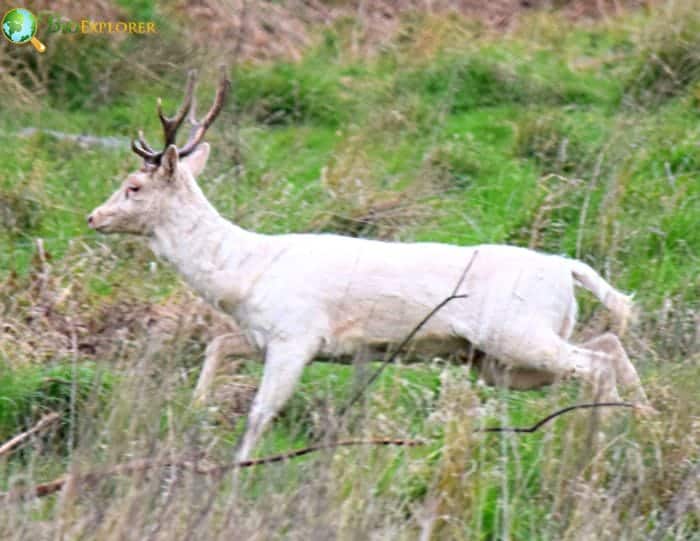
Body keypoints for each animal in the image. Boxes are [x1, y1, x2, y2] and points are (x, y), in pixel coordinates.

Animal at [87, 70, 652, 460]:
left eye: (132, 187)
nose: (93, 216)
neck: (245, 275)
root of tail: (566, 268)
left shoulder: (298, 335)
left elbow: (260, 413)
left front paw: (234, 468)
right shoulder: (261, 335)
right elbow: (216, 346)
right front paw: (196, 408)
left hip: (515, 333)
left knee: (596, 363)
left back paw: (597, 440)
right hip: (503, 362)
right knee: (610, 343)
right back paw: (642, 418)